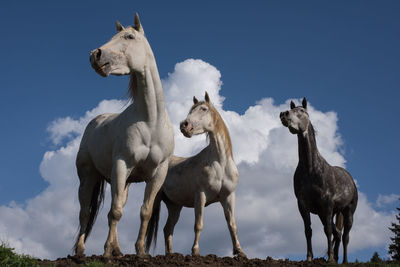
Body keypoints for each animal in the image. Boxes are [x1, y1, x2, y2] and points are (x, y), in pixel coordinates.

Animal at [74, 13, 174, 258]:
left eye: (129, 36)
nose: (95, 55)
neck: (151, 121)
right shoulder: (121, 165)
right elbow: (116, 212)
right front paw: (106, 253)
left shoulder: (158, 174)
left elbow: (144, 211)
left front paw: (140, 252)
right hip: (88, 176)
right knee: (85, 211)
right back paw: (80, 251)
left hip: (123, 181)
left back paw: (118, 250)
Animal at [145, 92, 245, 258]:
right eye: (191, 110)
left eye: (203, 109)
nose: (184, 125)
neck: (221, 163)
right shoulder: (201, 196)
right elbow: (198, 224)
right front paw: (195, 251)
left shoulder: (229, 196)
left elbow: (232, 224)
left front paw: (240, 251)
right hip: (157, 198)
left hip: (175, 206)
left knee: (168, 229)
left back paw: (170, 254)